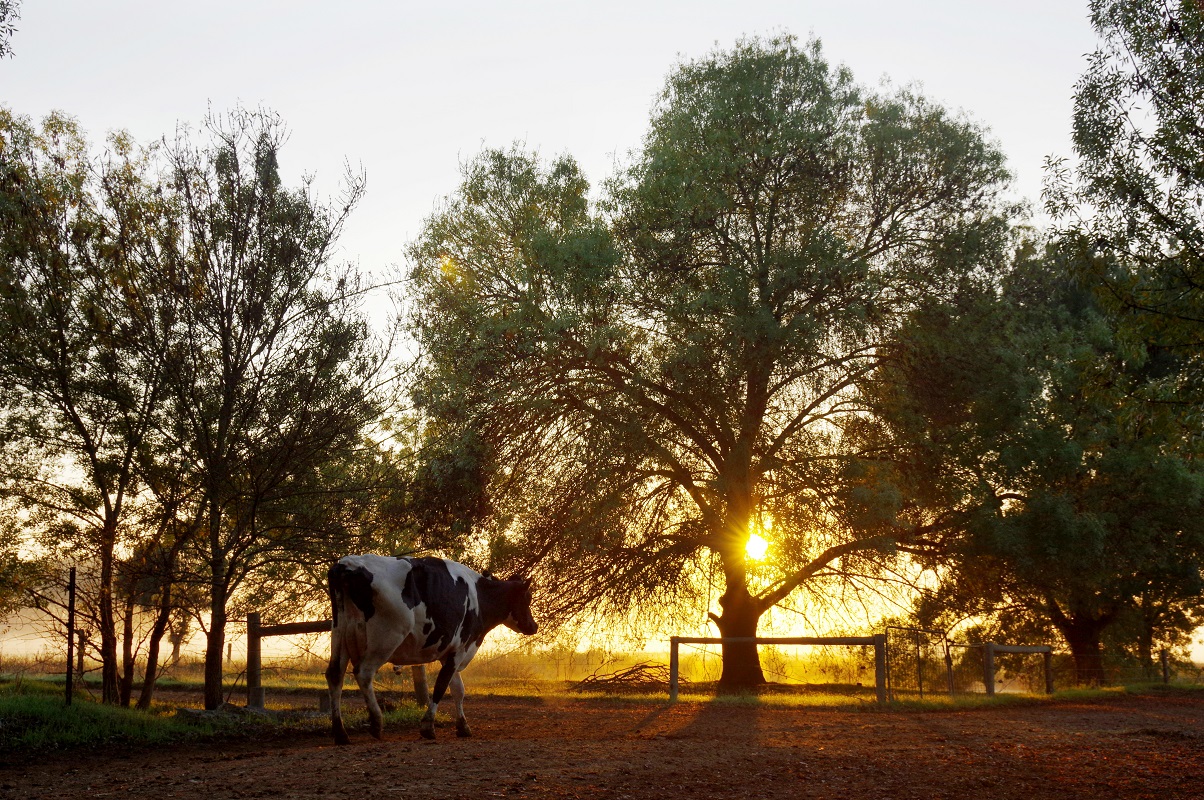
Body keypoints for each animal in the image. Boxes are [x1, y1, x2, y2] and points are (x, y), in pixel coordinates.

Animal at [327, 554, 539, 742]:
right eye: (527, 598)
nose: (534, 626)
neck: (479, 597)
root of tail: (347, 564)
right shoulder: (459, 649)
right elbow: (441, 686)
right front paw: (428, 726)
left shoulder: (450, 653)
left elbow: (458, 689)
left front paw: (463, 726)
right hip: (386, 636)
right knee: (364, 672)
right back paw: (377, 723)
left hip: (340, 632)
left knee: (335, 674)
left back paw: (341, 733)